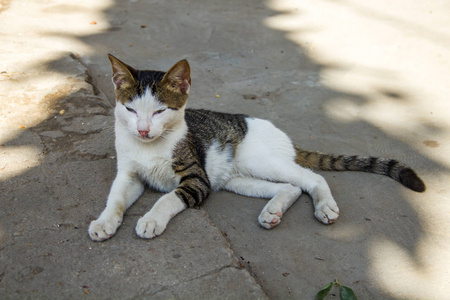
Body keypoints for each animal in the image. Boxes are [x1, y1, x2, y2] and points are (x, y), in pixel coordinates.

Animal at [88, 54, 426, 241]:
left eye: (160, 111)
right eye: (130, 110)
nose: (143, 130)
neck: (149, 147)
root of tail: (283, 136)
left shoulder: (197, 178)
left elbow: (168, 198)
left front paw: (151, 219)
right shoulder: (129, 174)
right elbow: (116, 197)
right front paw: (105, 222)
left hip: (260, 160)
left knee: (311, 178)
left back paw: (324, 206)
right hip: (236, 177)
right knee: (290, 186)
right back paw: (272, 211)